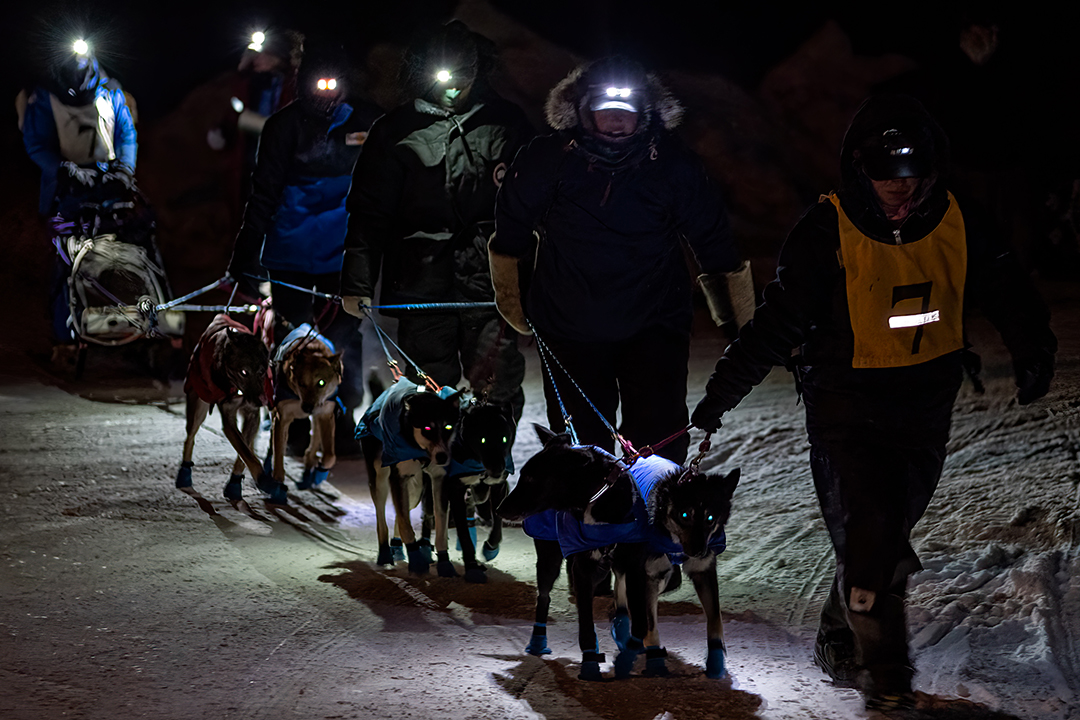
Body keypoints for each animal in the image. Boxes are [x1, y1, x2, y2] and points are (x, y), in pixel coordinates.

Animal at [498, 425, 743, 686]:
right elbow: (588, 626)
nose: (499, 510)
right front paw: (593, 664)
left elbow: (704, 619)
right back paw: (538, 642)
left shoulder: (657, 569)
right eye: (524, 476)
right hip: (550, 559)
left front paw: (714, 662)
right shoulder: (587, 569)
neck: (598, 499)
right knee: (544, 597)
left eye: (532, 479)